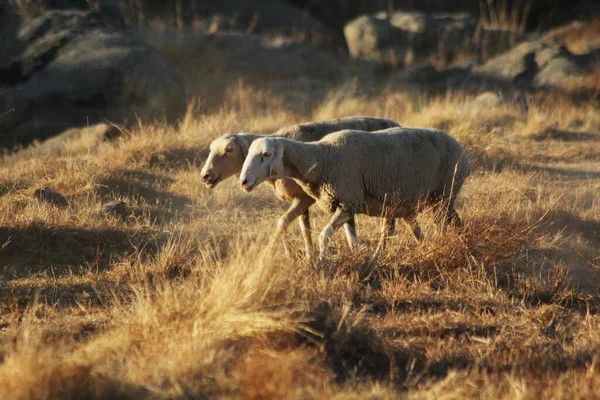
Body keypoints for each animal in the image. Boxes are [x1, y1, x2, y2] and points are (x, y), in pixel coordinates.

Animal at [199, 117, 400, 258]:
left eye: (229, 149)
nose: (204, 176)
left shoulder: (305, 197)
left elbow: (284, 223)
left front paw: (293, 256)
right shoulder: (301, 198)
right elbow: (302, 229)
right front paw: (308, 255)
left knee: (388, 224)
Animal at [238, 128, 468, 260]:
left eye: (266, 154)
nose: (243, 182)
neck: (322, 158)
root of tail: (462, 151)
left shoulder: (348, 201)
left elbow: (324, 235)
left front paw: (323, 266)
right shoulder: (347, 204)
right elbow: (351, 240)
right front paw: (355, 258)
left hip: (443, 194)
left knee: (441, 226)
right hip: (411, 203)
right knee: (427, 229)